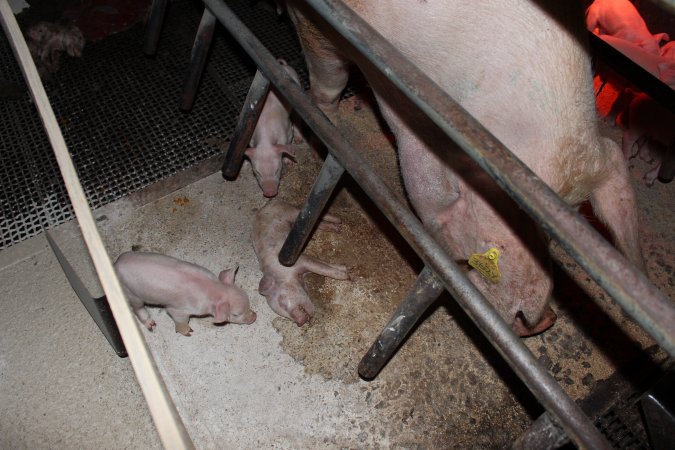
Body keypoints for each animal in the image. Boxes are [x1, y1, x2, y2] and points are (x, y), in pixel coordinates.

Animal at [113, 251, 256, 336]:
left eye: (248, 302)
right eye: (236, 314)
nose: (254, 317)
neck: (214, 290)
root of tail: (115, 264)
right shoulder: (178, 309)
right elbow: (179, 318)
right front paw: (189, 332)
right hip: (131, 293)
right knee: (137, 308)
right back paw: (152, 325)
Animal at [247, 58, 302, 197]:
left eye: (277, 170)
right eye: (257, 172)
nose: (270, 193)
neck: (265, 138)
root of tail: (284, 66)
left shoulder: (286, 131)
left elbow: (286, 145)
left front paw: (289, 161)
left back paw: (299, 140)